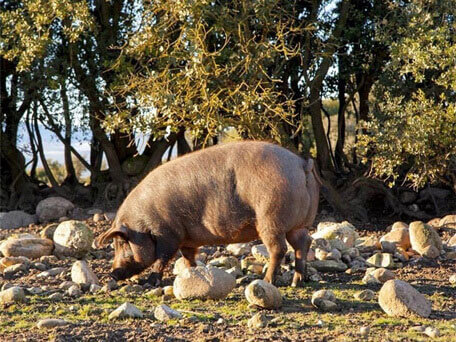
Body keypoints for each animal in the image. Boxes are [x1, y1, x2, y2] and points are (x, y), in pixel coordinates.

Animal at [97, 140, 320, 288]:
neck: (143, 224)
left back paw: (267, 281)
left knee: (279, 249)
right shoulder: (186, 238)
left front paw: (150, 283)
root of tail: (301, 164)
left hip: (271, 219)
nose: (112, 274)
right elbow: (188, 256)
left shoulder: (168, 233)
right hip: (299, 223)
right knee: (303, 243)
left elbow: (162, 258)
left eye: (121, 242)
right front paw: (191, 272)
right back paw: (298, 281)